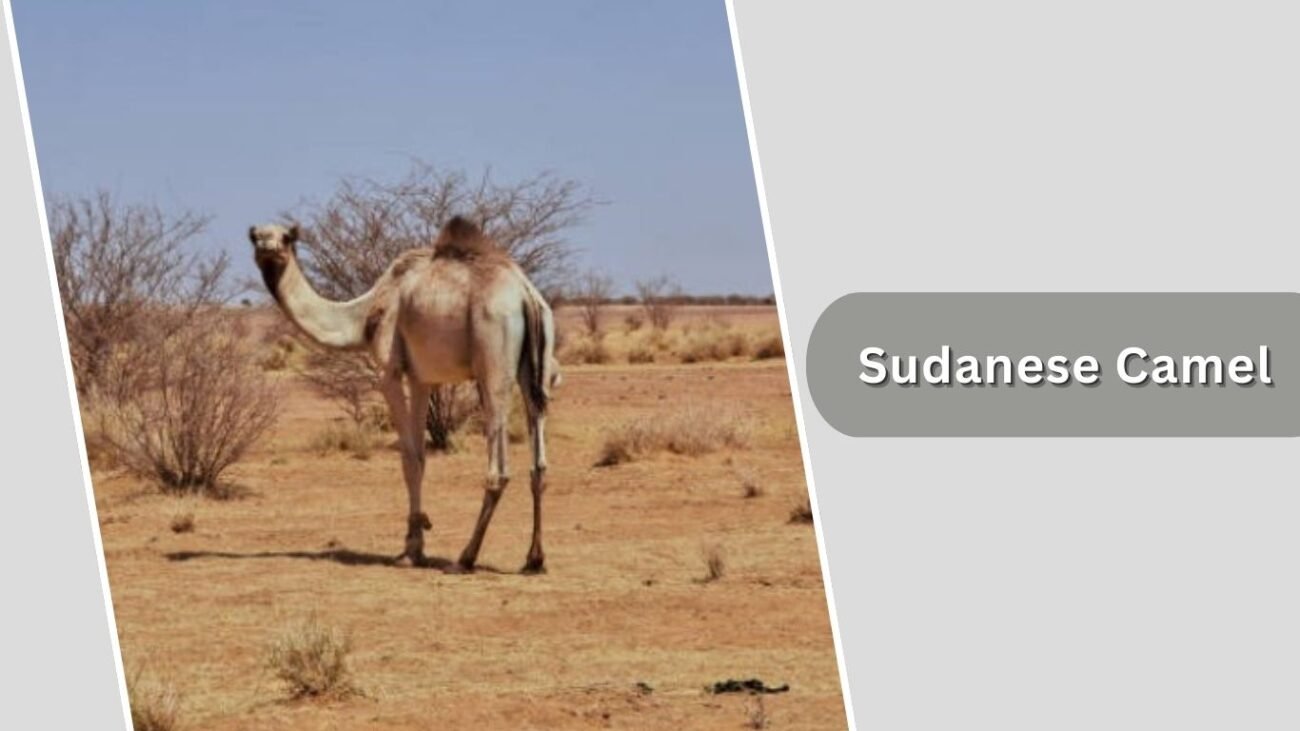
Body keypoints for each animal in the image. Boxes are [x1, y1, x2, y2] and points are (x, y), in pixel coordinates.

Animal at [248, 217, 558, 573]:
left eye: (286, 238)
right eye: (256, 237)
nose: (268, 248)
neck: (362, 315)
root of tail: (526, 295)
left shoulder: (391, 372)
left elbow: (408, 458)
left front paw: (410, 550)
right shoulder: (422, 378)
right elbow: (421, 457)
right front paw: (416, 542)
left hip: (493, 355)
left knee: (499, 464)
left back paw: (465, 558)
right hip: (537, 365)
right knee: (538, 457)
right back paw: (534, 559)